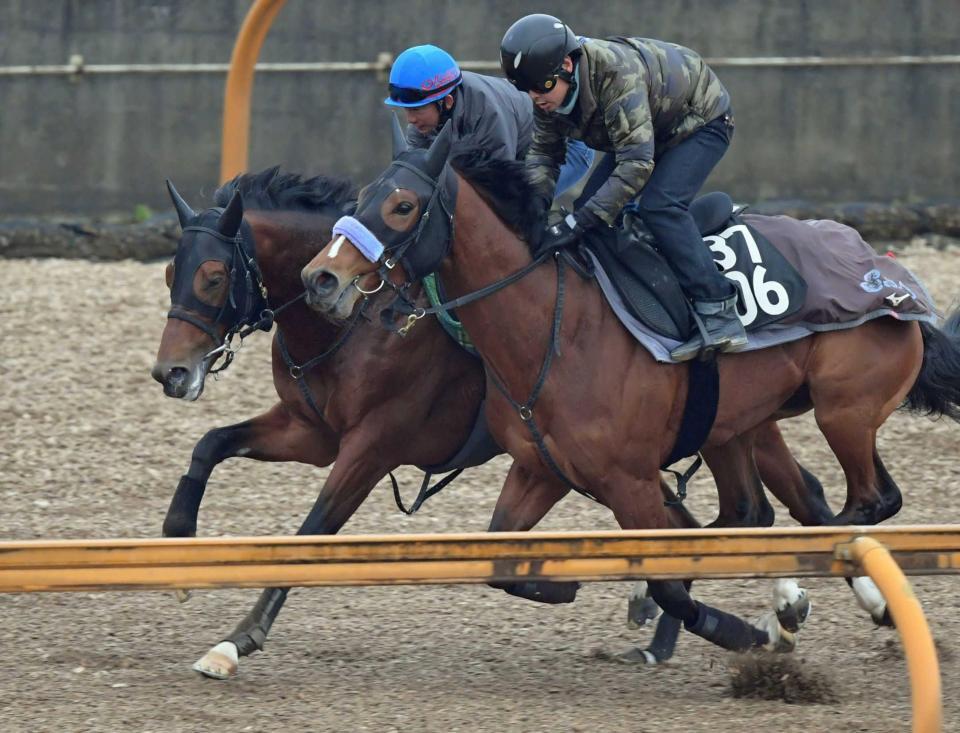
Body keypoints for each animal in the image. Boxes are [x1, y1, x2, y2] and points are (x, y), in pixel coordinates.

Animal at [302, 127, 960, 656]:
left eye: (402, 205)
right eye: (359, 199)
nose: (320, 278)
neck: (557, 328)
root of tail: (888, 273)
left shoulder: (630, 481)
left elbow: (671, 581)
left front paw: (746, 630)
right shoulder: (543, 468)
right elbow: (504, 565)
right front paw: (566, 585)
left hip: (843, 407)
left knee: (868, 502)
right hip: (736, 424)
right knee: (756, 510)